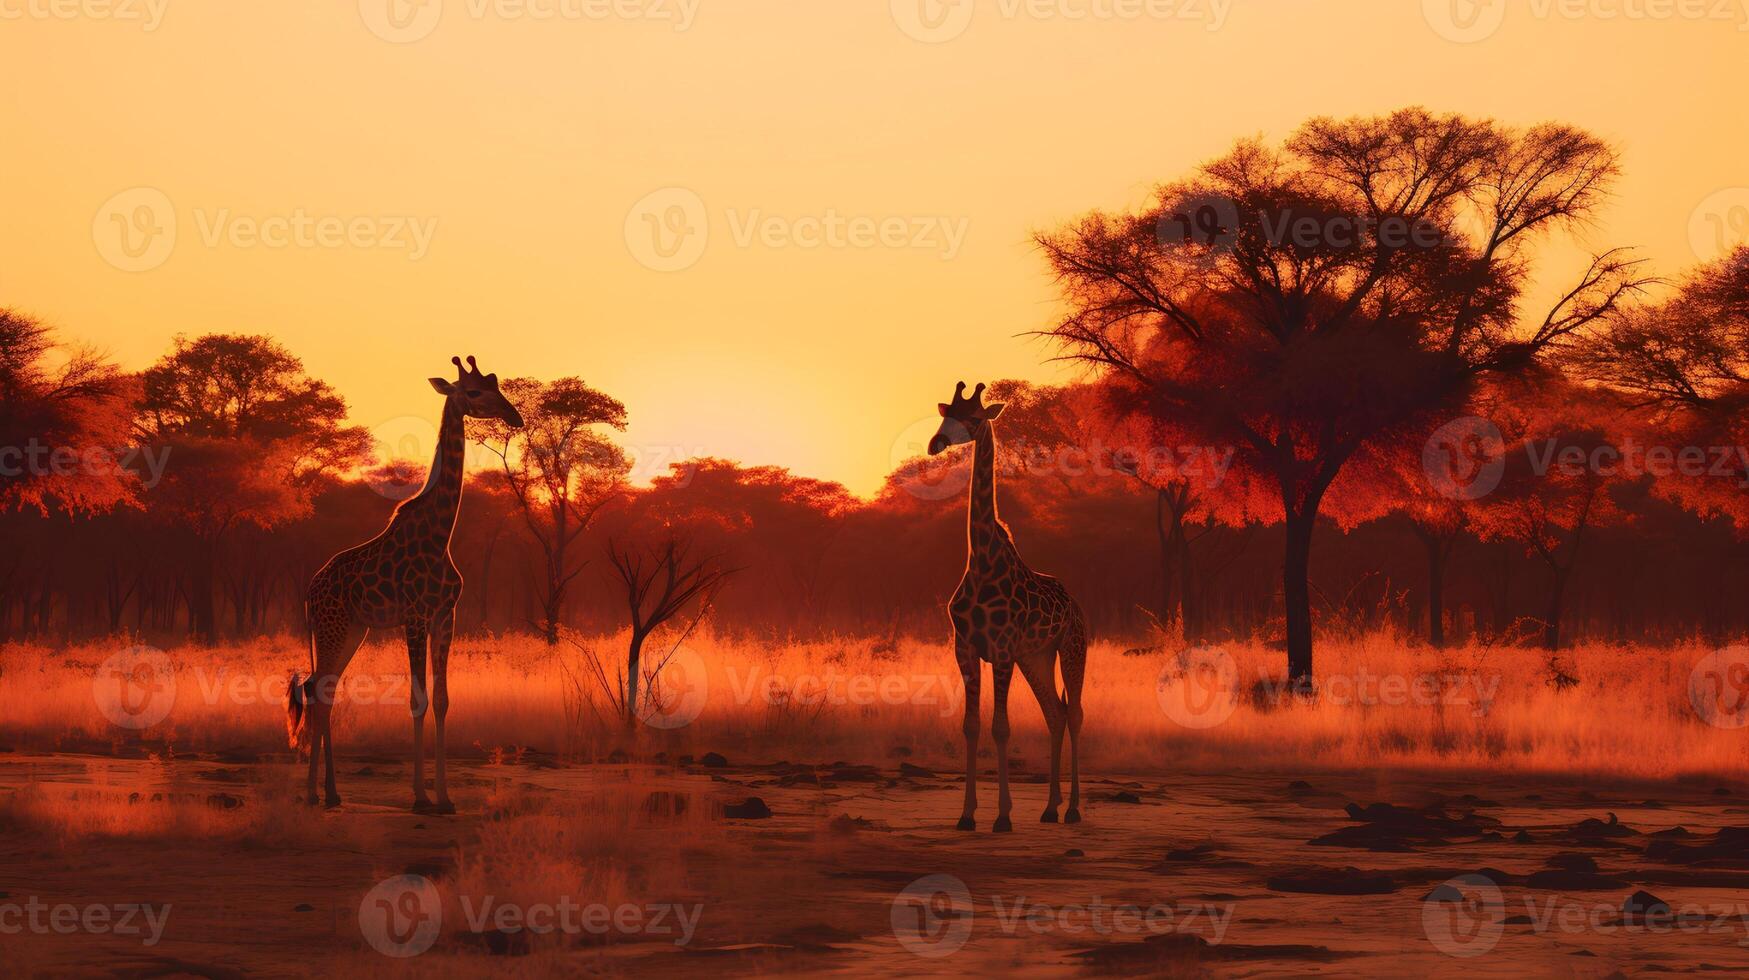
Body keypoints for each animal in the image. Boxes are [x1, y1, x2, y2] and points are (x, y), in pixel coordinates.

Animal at [283, 355, 517, 808]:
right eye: (474, 391)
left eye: (497, 385)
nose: (514, 415)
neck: (441, 533)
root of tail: (308, 592)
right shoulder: (415, 617)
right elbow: (416, 700)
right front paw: (421, 797)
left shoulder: (446, 616)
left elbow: (441, 701)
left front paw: (445, 798)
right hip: (332, 628)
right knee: (317, 690)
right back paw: (313, 793)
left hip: (353, 629)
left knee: (324, 691)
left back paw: (330, 793)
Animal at [930, 379, 1077, 829]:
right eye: (945, 413)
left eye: (975, 419)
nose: (936, 443)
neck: (981, 561)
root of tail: (1075, 600)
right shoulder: (965, 649)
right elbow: (972, 726)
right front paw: (966, 815)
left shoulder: (1002, 649)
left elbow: (1001, 728)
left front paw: (1003, 816)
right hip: (1037, 657)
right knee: (1056, 713)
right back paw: (1051, 808)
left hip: (1070, 647)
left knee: (1076, 714)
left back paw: (1074, 810)